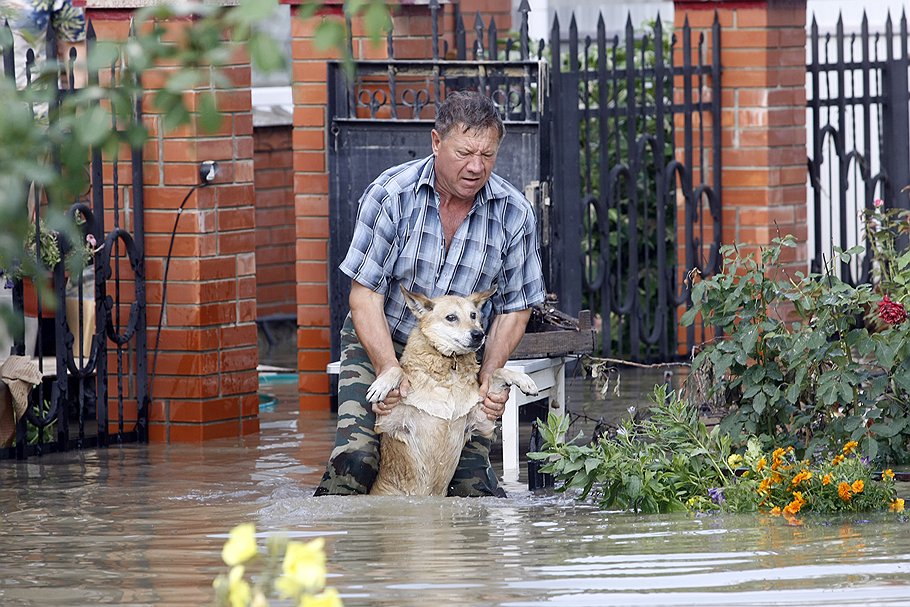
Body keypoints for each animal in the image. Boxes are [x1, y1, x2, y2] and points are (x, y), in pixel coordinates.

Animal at [366, 288, 536, 496]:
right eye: (451, 317)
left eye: (473, 315)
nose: (479, 334)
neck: (449, 369)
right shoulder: (387, 422)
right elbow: (397, 370)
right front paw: (383, 383)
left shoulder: (482, 421)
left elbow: (497, 372)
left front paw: (524, 380)